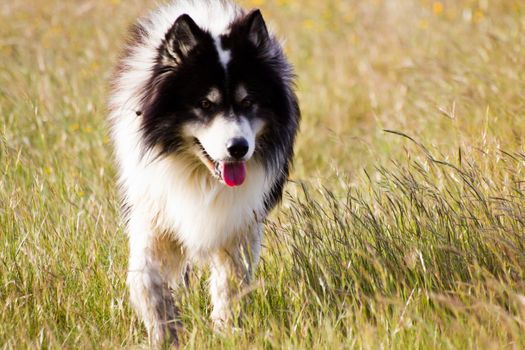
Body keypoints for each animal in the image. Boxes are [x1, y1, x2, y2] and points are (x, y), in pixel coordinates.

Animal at [106, 0, 298, 344]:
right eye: (205, 105)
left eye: (248, 101)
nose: (238, 148)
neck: (199, 173)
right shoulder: (152, 210)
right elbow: (145, 280)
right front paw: (165, 334)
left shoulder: (239, 220)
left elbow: (230, 283)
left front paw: (225, 332)